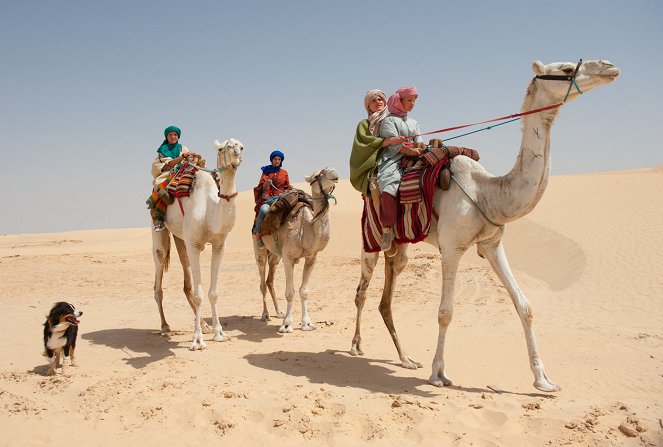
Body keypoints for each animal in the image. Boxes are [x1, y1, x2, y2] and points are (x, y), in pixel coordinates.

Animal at [152, 136, 244, 350]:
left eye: (241, 145)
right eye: (223, 148)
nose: (237, 152)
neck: (209, 211)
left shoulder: (219, 245)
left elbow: (213, 292)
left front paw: (219, 332)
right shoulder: (194, 245)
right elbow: (199, 294)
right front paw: (197, 340)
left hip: (181, 239)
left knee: (187, 284)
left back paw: (204, 325)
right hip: (159, 234)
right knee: (159, 281)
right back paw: (165, 327)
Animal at [253, 167, 340, 332]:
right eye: (318, 175)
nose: (334, 172)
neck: (305, 227)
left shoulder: (311, 257)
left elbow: (304, 291)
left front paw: (307, 323)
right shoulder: (288, 258)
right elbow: (290, 292)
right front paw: (287, 324)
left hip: (275, 255)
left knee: (270, 280)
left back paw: (278, 312)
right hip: (259, 250)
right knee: (262, 282)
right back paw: (265, 315)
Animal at [350, 60, 620, 392]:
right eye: (567, 68)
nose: (609, 67)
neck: (487, 193)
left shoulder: (492, 244)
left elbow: (524, 306)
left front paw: (543, 379)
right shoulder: (452, 248)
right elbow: (445, 312)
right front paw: (438, 373)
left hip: (401, 247)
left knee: (388, 291)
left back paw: (406, 358)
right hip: (370, 238)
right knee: (362, 290)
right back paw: (356, 346)